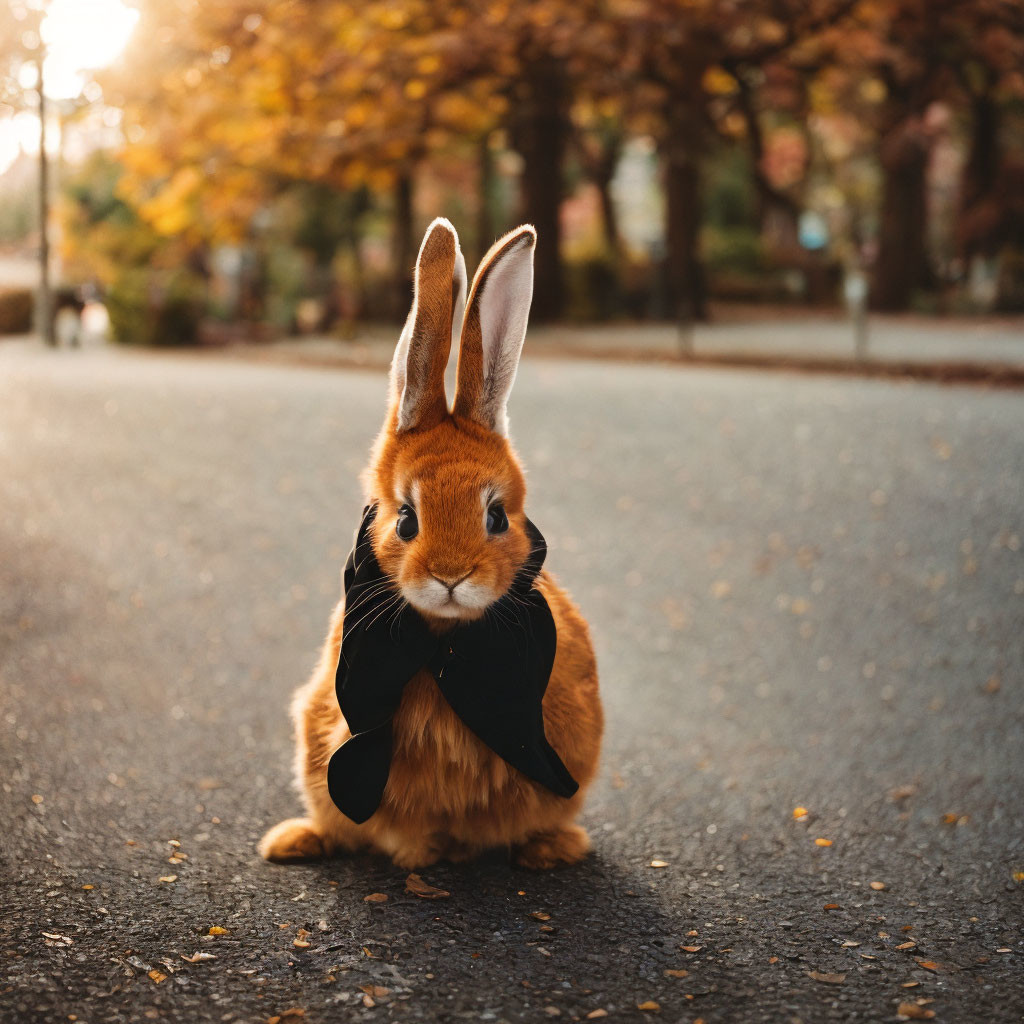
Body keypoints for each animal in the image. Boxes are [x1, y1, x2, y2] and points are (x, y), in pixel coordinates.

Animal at [260, 220, 602, 868]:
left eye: (497, 517)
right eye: (405, 521)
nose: (450, 576)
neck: (442, 639)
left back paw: (550, 848)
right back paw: (291, 842)